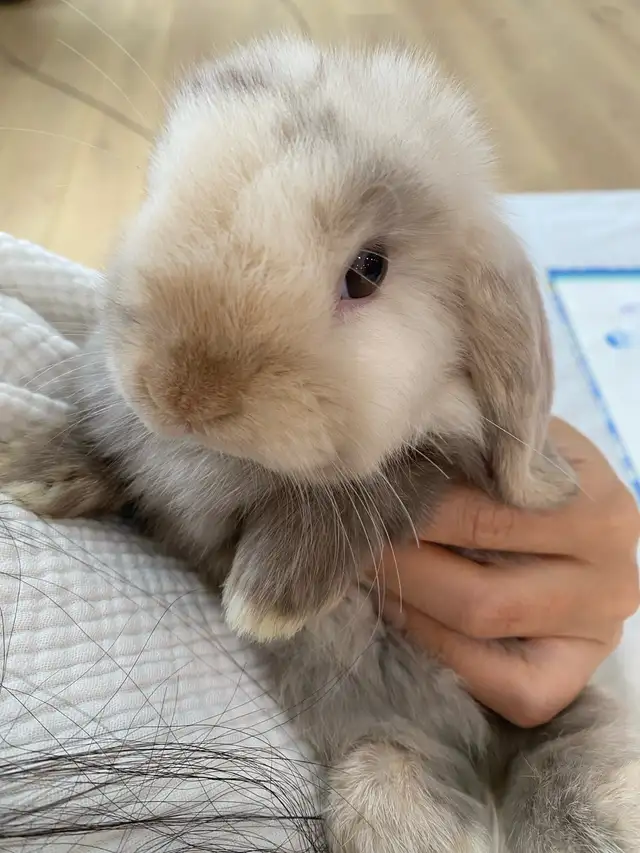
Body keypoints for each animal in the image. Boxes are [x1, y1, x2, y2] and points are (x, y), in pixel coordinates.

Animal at [1, 35, 639, 853]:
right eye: (156, 193)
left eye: (368, 271)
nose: (181, 393)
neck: (216, 458)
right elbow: (119, 458)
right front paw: (38, 469)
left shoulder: (427, 465)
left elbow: (375, 486)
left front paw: (267, 597)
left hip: (554, 713)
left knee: (561, 757)